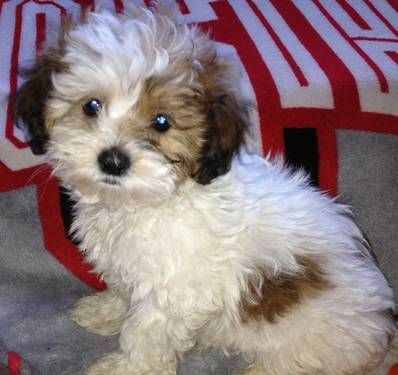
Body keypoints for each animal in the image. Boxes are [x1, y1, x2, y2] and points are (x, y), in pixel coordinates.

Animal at [14, 3, 394, 375]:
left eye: (162, 122)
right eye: (91, 106)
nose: (113, 160)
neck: (151, 200)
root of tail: (385, 330)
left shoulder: (173, 290)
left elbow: (146, 331)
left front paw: (127, 367)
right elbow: (124, 290)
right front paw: (106, 311)